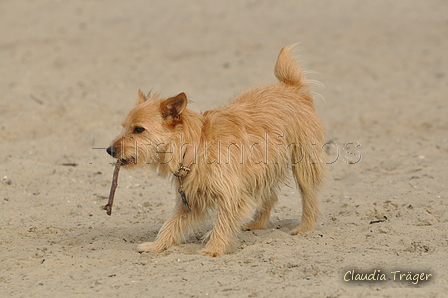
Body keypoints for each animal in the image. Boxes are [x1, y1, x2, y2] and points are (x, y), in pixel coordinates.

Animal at [107, 44, 328, 256]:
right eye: (124, 127)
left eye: (139, 130)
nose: (110, 150)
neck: (197, 147)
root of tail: (291, 87)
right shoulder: (190, 200)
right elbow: (171, 225)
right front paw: (156, 246)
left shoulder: (232, 194)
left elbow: (223, 222)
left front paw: (214, 248)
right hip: (262, 169)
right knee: (269, 195)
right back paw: (257, 224)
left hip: (303, 164)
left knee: (309, 195)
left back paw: (305, 227)